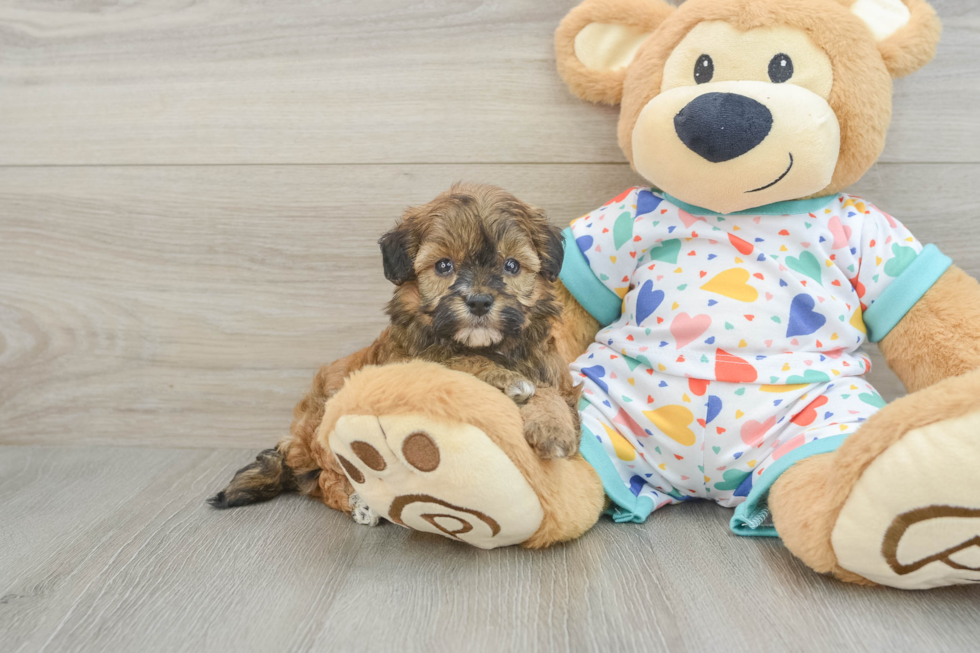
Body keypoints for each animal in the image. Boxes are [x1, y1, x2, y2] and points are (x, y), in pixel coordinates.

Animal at [211, 182, 580, 516]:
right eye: (443, 266)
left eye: (512, 266)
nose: (478, 301)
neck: (490, 346)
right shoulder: (411, 360)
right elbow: (459, 360)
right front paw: (507, 380)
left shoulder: (551, 370)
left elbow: (551, 392)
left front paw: (554, 426)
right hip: (323, 431)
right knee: (326, 479)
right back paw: (358, 502)